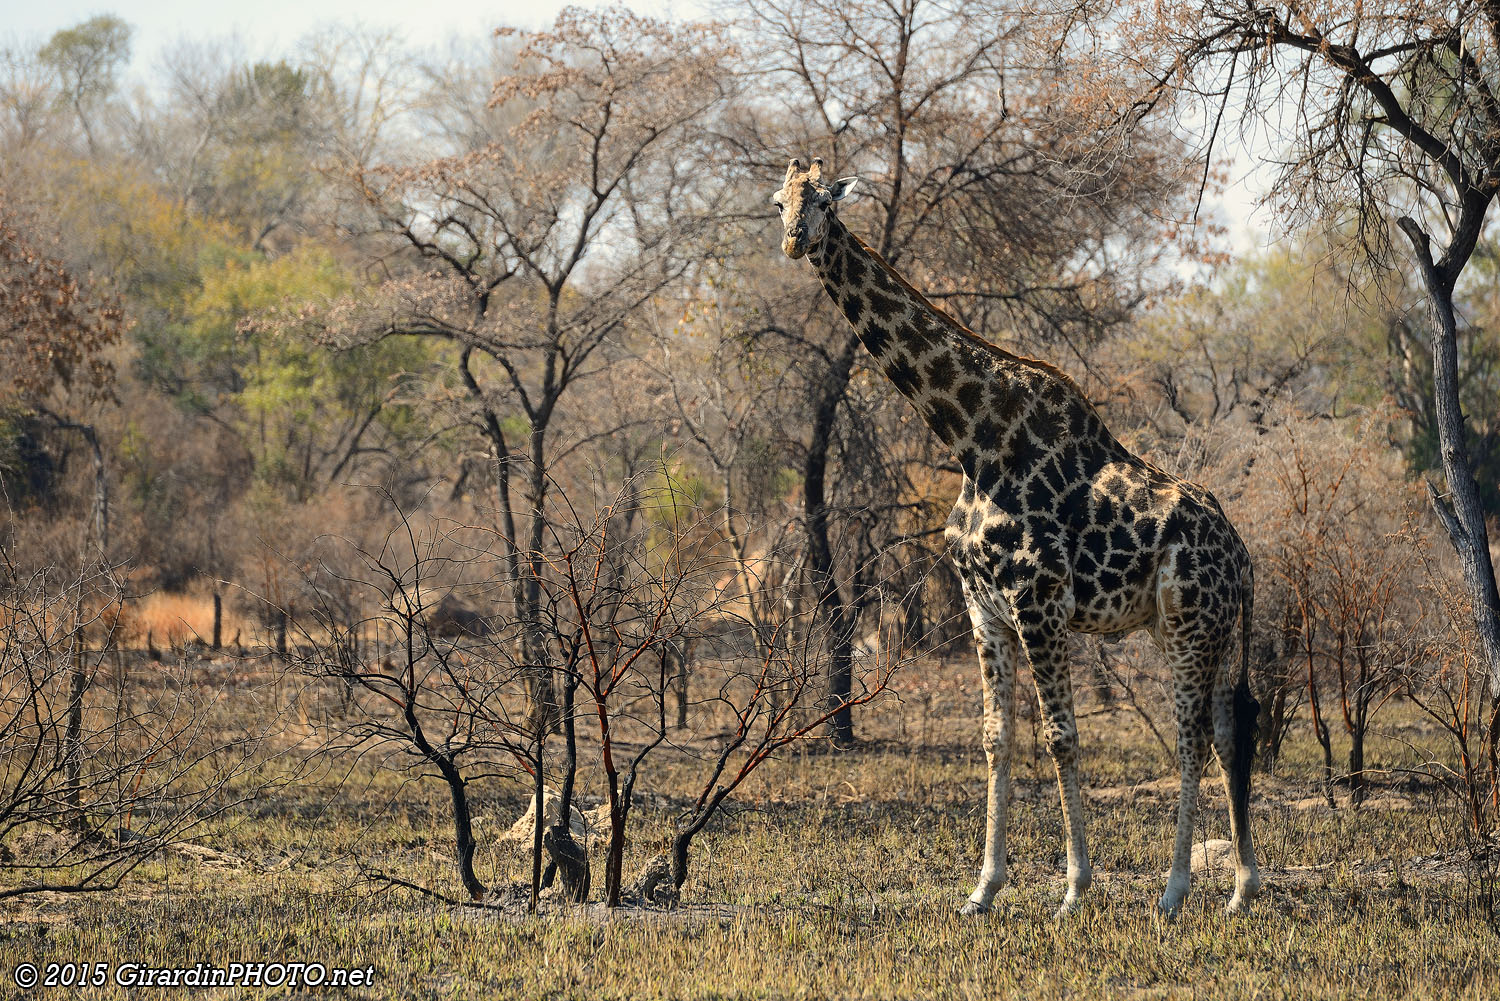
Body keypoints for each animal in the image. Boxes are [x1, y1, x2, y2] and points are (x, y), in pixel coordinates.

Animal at [772, 157, 1261, 918]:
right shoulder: (983, 607)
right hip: (1195, 627)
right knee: (1228, 729)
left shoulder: (1038, 604)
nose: (796, 239)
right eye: (778, 202)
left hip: (1190, 623)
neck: (972, 440)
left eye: (824, 200)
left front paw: (1073, 890)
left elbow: (1060, 736)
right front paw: (983, 889)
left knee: (1190, 737)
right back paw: (1240, 888)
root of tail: (1241, 555)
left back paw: (1175, 891)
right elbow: (996, 738)